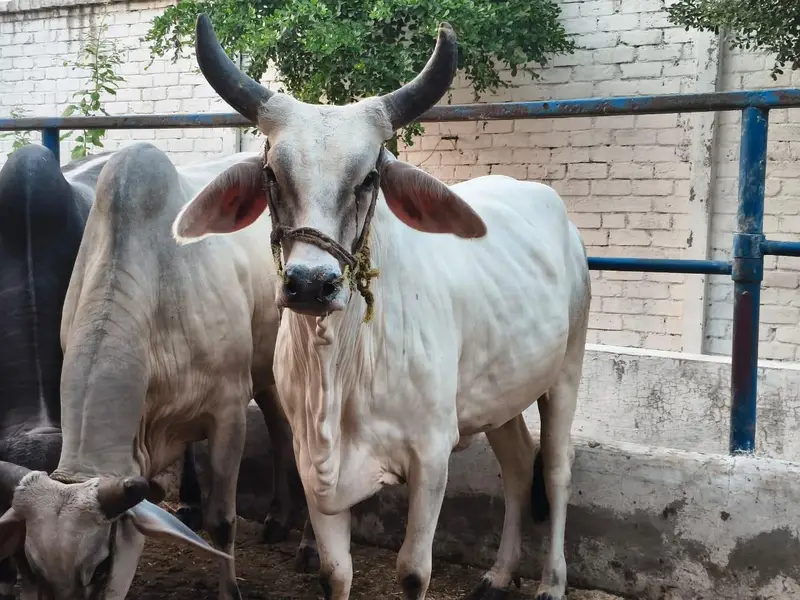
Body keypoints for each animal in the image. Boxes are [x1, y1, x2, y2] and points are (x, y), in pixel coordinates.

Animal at [170, 14, 591, 600]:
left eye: (369, 176)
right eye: (272, 172)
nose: (310, 285)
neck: (340, 367)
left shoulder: (431, 458)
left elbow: (413, 571)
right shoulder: (313, 464)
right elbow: (335, 572)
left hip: (566, 371)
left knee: (554, 468)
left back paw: (551, 582)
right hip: (500, 394)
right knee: (515, 463)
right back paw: (498, 574)